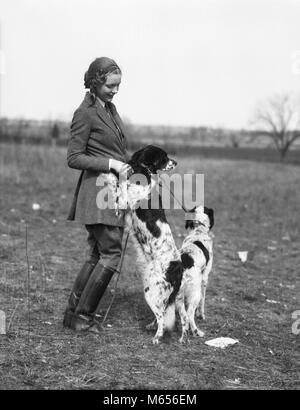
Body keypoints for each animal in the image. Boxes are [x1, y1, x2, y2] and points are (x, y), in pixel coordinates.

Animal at [176, 205, 216, 342]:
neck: (198, 231)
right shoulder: (204, 278)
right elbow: (202, 303)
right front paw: (201, 315)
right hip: (195, 292)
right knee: (188, 315)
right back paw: (196, 332)